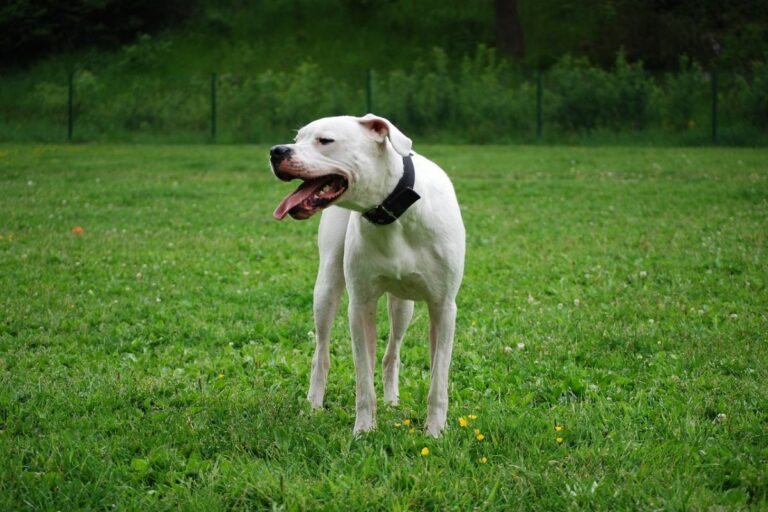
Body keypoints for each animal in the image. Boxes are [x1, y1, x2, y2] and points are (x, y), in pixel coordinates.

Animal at [268, 113, 464, 436]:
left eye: (325, 140)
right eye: (297, 139)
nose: (276, 151)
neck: (392, 213)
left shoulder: (444, 308)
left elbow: (438, 379)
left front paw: (435, 432)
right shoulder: (359, 306)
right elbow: (363, 378)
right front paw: (363, 430)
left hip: (404, 307)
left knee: (391, 353)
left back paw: (392, 401)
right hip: (326, 289)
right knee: (321, 353)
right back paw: (313, 404)